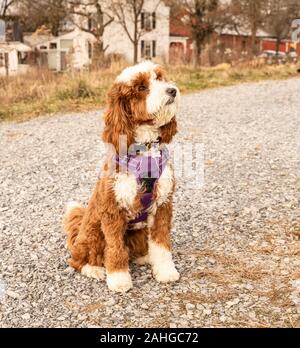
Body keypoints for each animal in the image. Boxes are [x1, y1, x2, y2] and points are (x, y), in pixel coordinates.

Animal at [63, 61, 180, 292]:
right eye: (141, 87)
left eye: (159, 78)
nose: (172, 90)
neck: (145, 149)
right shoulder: (112, 209)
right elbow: (115, 248)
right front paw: (118, 279)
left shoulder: (162, 205)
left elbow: (162, 244)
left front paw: (165, 271)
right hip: (93, 232)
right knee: (78, 260)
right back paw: (95, 269)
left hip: (139, 230)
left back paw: (145, 257)